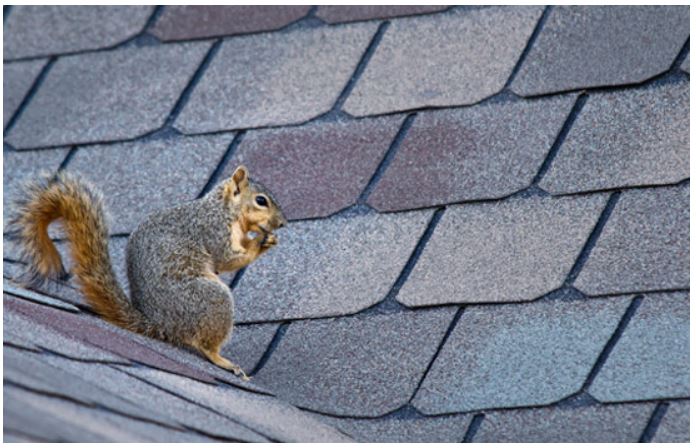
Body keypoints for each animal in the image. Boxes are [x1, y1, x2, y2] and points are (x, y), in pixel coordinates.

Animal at [8, 166, 286, 380]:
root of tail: (161, 325)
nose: (282, 223)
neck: (224, 209)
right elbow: (227, 258)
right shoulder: (213, 231)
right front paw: (260, 243)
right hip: (210, 299)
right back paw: (222, 360)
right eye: (261, 200)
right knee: (206, 344)